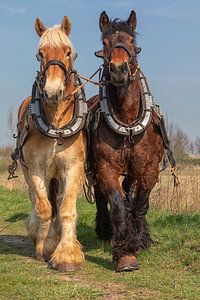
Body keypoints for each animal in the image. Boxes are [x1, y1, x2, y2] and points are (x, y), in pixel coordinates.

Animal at [11, 17, 87, 274]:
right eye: (40, 54)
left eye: (69, 53)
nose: (53, 92)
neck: (56, 125)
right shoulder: (36, 169)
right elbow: (44, 208)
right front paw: (45, 247)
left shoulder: (73, 168)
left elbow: (65, 209)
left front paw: (67, 255)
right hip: (27, 172)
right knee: (38, 201)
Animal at [87, 9, 173, 272]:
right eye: (104, 43)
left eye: (132, 41)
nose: (118, 69)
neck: (127, 120)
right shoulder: (106, 167)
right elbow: (116, 205)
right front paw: (124, 253)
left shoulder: (149, 168)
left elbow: (140, 204)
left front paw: (138, 240)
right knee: (103, 197)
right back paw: (106, 231)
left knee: (131, 194)